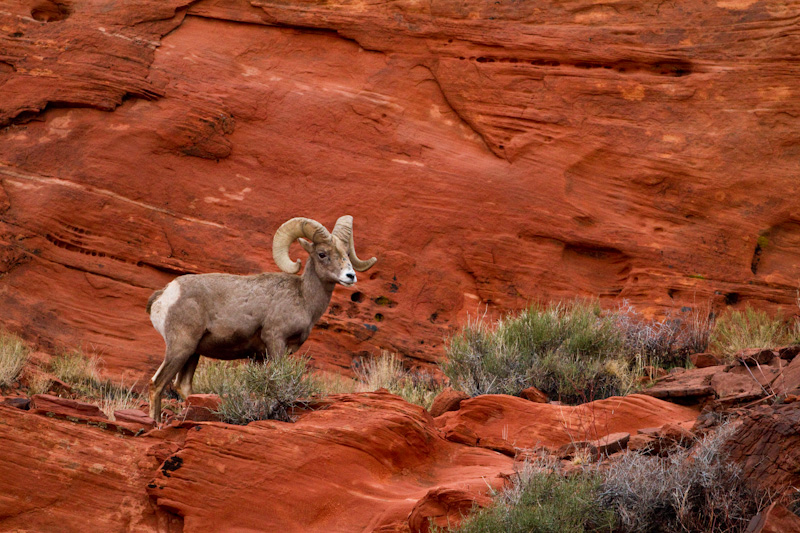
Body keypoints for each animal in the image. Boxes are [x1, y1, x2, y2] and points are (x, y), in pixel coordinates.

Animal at [145, 214, 376, 422]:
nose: (350, 276)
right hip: (180, 347)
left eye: (346, 253)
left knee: (183, 386)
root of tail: (165, 294)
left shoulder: (259, 356)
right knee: (157, 384)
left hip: (193, 352)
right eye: (322, 254)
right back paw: (156, 424)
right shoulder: (276, 341)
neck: (303, 298)